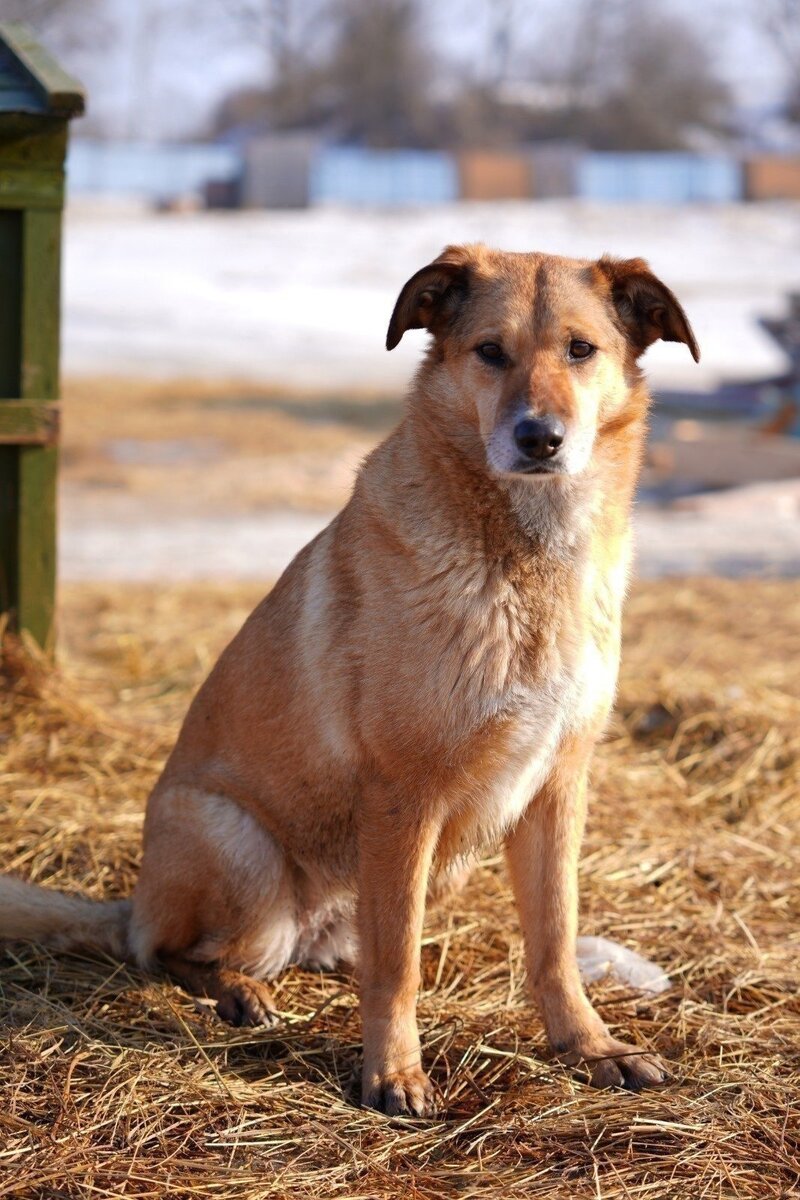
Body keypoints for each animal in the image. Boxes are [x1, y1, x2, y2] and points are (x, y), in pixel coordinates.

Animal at [0, 243, 695, 1113]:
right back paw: (239, 992)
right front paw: (392, 1073)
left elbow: (555, 942)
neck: (522, 558)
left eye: (581, 349)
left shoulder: (557, 788)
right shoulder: (406, 793)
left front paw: (590, 1047)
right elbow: (397, 966)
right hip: (245, 850)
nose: (540, 438)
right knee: (169, 953)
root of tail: (133, 902)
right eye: (489, 351)